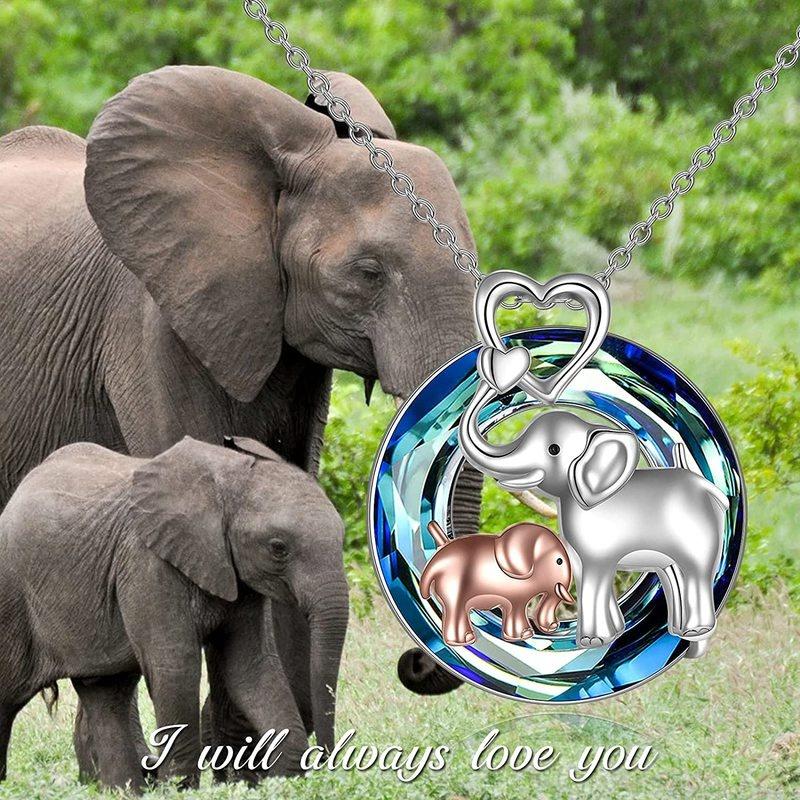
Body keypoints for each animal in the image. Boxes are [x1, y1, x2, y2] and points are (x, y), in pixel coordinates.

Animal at [0, 435, 348, 791]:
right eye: (278, 548)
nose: (329, 761)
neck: (227, 479)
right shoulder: (147, 563)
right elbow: (175, 668)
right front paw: (180, 789)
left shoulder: (238, 578)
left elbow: (251, 668)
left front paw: (286, 783)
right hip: (12, 596)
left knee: (106, 694)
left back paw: (124, 791)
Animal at [420, 521, 574, 645]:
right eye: (559, 561)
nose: (554, 626)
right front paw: (524, 635)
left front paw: (522, 636)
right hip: (454, 585)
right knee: (456, 608)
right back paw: (465, 640)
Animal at [459, 403, 729, 649]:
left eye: (553, 449)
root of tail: (705, 485)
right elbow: (584, 574)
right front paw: (612, 634)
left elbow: (595, 575)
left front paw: (591, 641)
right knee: (675, 573)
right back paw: (680, 629)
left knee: (696, 570)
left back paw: (696, 630)